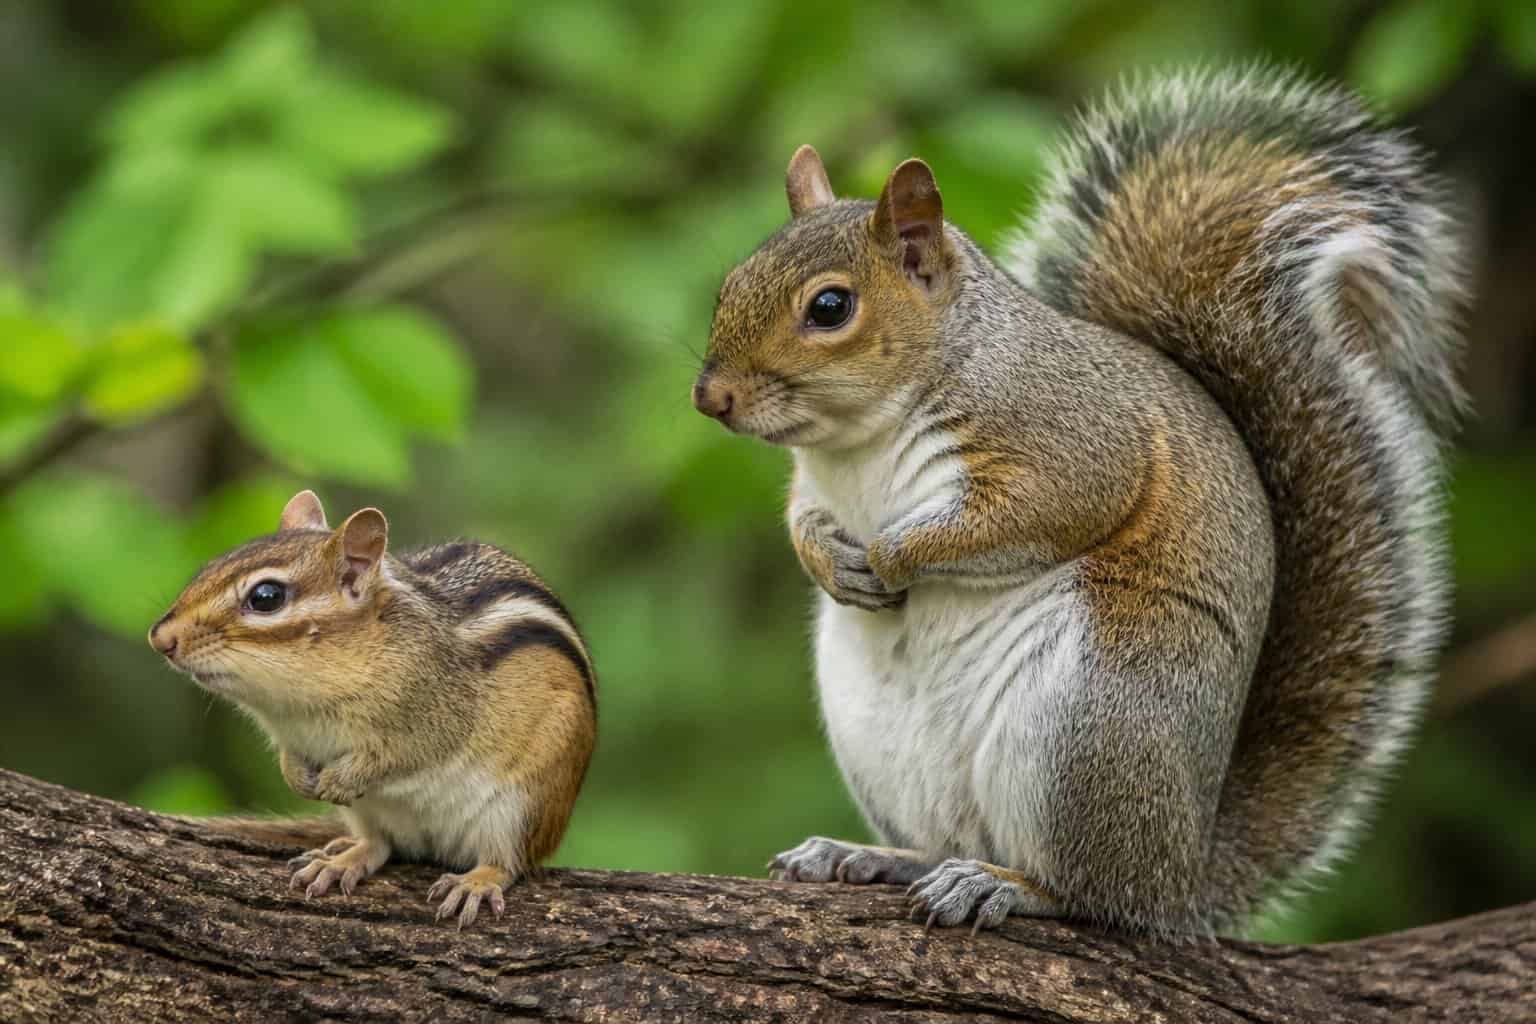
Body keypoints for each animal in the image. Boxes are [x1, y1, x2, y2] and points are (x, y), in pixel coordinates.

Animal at [148, 490, 596, 928]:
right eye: (208, 567)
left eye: (266, 597)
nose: (160, 638)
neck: (299, 707)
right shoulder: (290, 734)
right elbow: (291, 757)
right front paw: (299, 778)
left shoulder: (437, 716)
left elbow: (400, 754)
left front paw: (338, 779)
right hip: (368, 813)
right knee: (380, 845)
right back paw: (343, 860)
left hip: (522, 808)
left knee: (509, 861)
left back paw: (478, 881)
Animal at [693, 66, 1467, 938]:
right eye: (729, 285)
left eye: (830, 308)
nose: (709, 396)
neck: (860, 441)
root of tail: (1183, 872)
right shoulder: (814, 480)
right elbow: (800, 519)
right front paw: (833, 563)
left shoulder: (1071, 446)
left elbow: (1030, 515)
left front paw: (892, 556)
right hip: (884, 741)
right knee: (949, 841)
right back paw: (875, 856)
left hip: (1086, 725)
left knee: (1090, 893)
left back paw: (1005, 886)